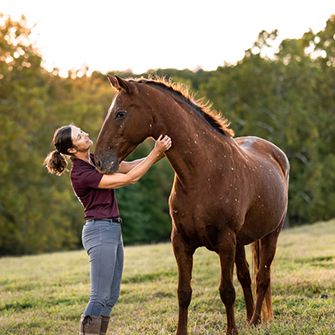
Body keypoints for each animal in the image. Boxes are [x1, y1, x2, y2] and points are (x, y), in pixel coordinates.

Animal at [95, 76, 292, 335]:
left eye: (120, 113)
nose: (98, 160)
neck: (202, 173)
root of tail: (275, 153)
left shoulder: (225, 241)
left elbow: (227, 291)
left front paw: (232, 331)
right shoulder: (181, 242)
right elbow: (184, 292)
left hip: (270, 234)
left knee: (262, 278)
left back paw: (255, 319)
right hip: (241, 242)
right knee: (246, 275)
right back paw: (252, 319)